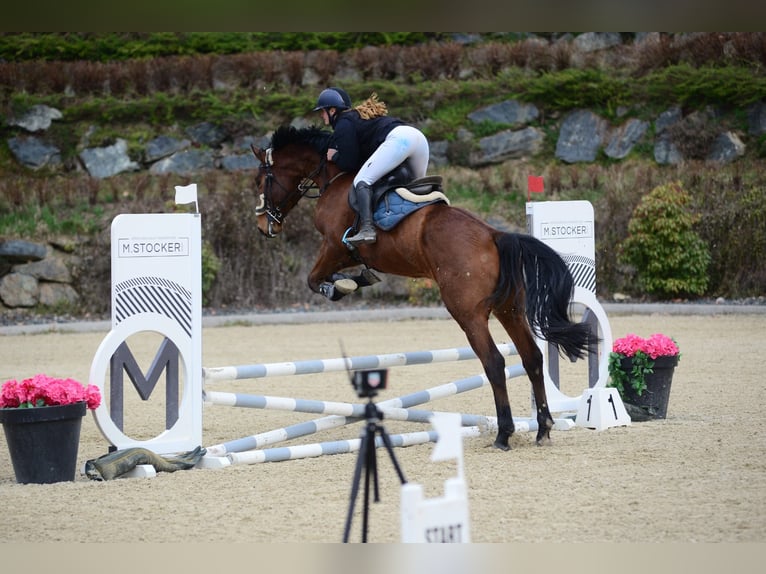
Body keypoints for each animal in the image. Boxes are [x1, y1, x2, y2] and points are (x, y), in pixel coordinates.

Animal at [251, 125, 593, 450]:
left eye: (260, 181)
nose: (263, 227)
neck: (333, 176)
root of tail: (495, 235)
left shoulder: (335, 246)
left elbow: (313, 279)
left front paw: (341, 286)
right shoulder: (342, 252)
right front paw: (358, 280)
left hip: (467, 313)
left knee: (494, 363)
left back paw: (504, 435)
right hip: (509, 308)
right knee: (532, 357)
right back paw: (543, 429)